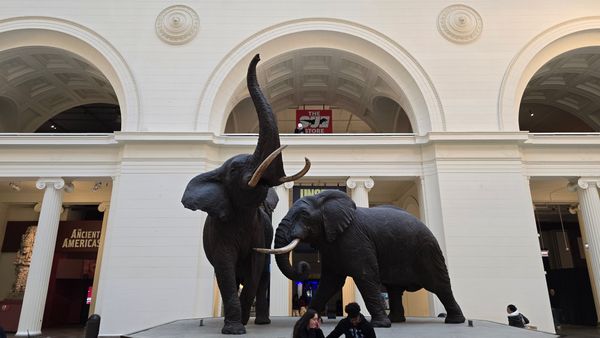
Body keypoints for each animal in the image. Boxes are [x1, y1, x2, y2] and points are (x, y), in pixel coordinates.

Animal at [182, 54, 312, 334]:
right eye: (234, 169)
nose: (259, 56)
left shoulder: (260, 232)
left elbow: (254, 268)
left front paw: (240, 321)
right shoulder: (219, 229)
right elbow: (225, 267)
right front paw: (234, 328)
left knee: (261, 277)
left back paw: (261, 321)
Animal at [255, 189, 466, 326]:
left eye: (304, 215)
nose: (304, 266)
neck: (322, 198)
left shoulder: (354, 238)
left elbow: (364, 275)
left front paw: (380, 325)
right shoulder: (332, 244)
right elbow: (330, 281)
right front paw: (306, 320)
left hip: (427, 250)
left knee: (439, 284)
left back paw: (455, 321)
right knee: (395, 289)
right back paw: (397, 320)